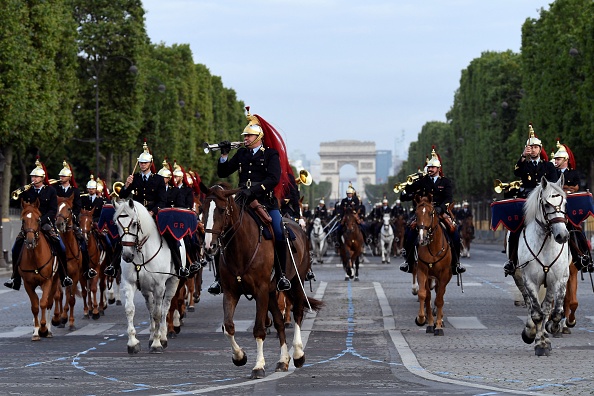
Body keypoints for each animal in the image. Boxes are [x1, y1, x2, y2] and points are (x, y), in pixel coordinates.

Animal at [17, 201, 60, 340]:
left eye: (38, 219)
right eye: (23, 220)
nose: (30, 241)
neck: (34, 257)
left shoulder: (47, 281)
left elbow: (43, 303)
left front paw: (43, 328)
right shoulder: (28, 284)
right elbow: (35, 306)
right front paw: (36, 331)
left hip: (55, 281)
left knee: (50, 302)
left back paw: (49, 329)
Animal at [112, 200, 182, 354]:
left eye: (134, 223)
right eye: (116, 224)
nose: (127, 256)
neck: (140, 252)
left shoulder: (159, 287)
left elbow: (158, 313)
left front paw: (157, 343)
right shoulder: (129, 283)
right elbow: (130, 309)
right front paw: (133, 343)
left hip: (172, 283)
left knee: (165, 307)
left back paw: (163, 336)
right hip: (145, 289)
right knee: (150, 308)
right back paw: (151, 336)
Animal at [200, 184, 322, 378]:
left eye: (221, 210)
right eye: (202, 210)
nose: (208, 246)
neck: (240, 248)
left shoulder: (261, 290)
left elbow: (259, 329)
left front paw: (258, 366)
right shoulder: (231, 292)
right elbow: (228, 326)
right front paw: (239, 356)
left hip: (296, 282)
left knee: (298, 312)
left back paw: (298, 354)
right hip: (271, 292)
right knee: (279, 322)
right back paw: (283, 361)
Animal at [412, 195, 454, 334]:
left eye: (431, 213)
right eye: (416, 213)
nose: (422, 238)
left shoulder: (444, 274)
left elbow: (439, 299)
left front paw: (439, 326)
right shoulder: (422, 271)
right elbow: (424, 295)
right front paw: (423, 319)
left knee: (440, 294)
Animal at [512, 176, 568, 356]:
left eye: (564, 203)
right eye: (546, 204)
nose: (562, 235)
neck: (545, 242)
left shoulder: (555, 281)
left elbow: (551, 311)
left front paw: (549, 332)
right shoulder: (529, 281)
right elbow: (537, 313)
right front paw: (537, 340)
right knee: (532, 306)